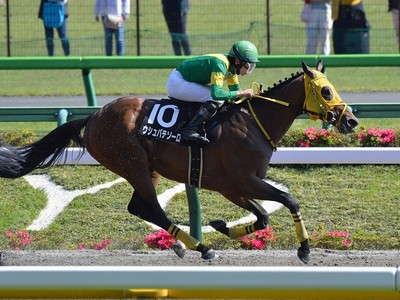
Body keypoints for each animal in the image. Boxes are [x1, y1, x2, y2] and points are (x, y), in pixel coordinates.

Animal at [0, 60, 356, 262]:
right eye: (326, 91)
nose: (351, 120)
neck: (252, 123)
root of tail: (93, 117)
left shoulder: (233, 187)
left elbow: (264, 216)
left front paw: (221, 225)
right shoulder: (241, 181)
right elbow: (287, 199)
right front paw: (305, 249)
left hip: (147, 168)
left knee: (140, 207)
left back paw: (188, 244)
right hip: (132, 164)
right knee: (151, 209)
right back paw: (200, 248)